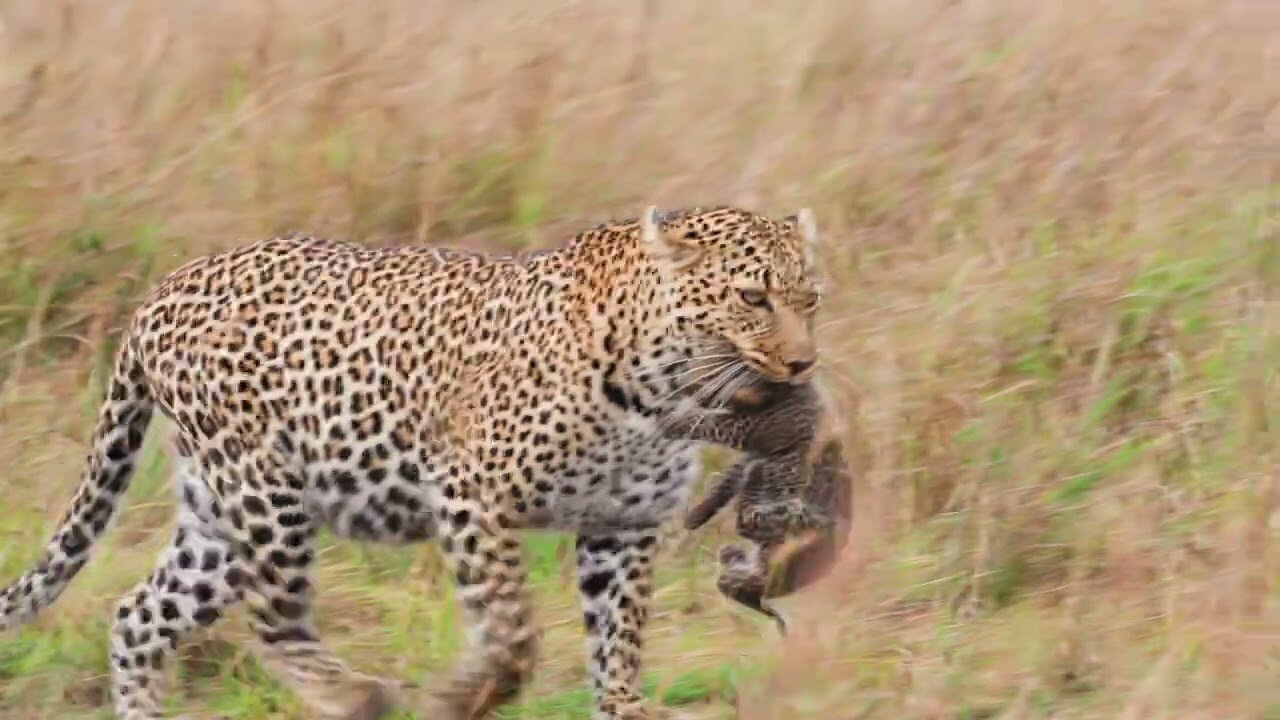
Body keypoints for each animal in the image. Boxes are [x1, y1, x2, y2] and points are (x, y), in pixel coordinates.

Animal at [0, 203, 824, 717]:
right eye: (752, 298)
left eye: (810, 298)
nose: (803, 364)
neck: (659, 389)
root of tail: (162, 290)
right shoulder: (472, 496)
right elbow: (512, 634)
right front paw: (464, 697)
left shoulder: (623, 527)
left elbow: (619, 643)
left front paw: (624, 708)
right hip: (265, 491)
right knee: (274, 621)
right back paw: (354, 695)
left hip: (217, 519)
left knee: (139, 617)